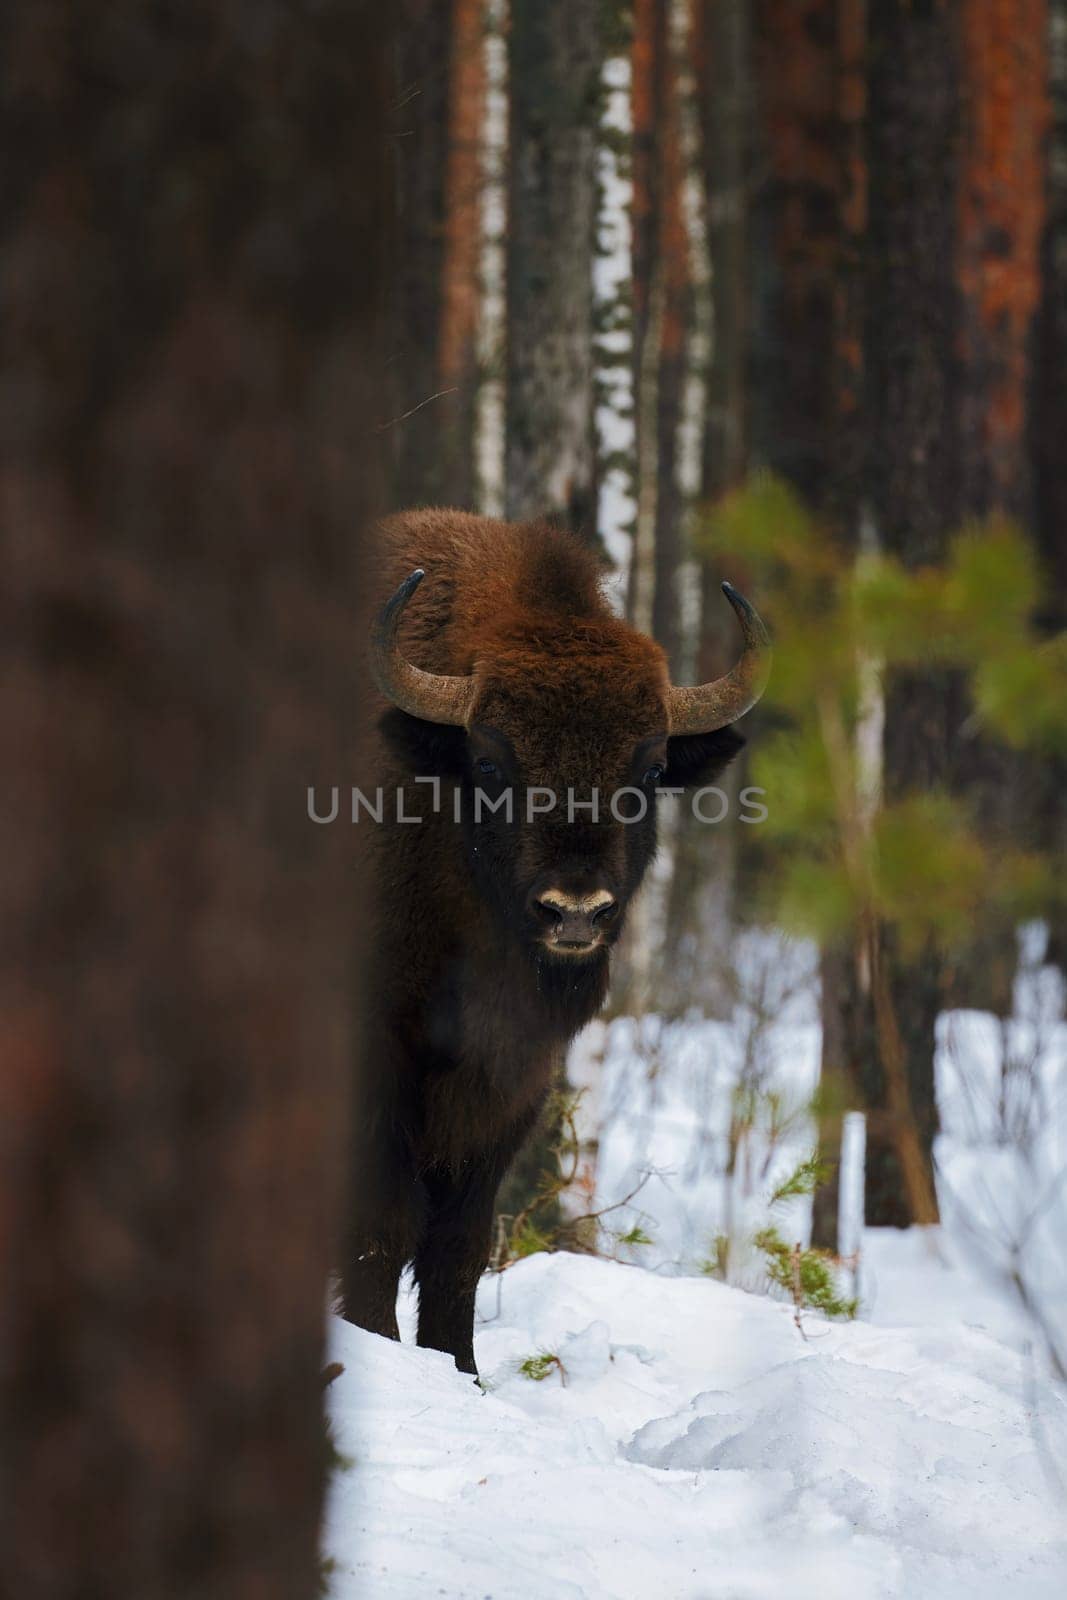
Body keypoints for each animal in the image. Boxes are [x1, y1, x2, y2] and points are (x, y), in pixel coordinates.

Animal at [347, 512, 771, 1376]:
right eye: (488, 761)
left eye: (650, 768)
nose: (574, 911)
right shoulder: (379, 1062)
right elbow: (383, 1228)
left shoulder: (515, 1081)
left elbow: (459, 1245)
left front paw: (462, 1373)